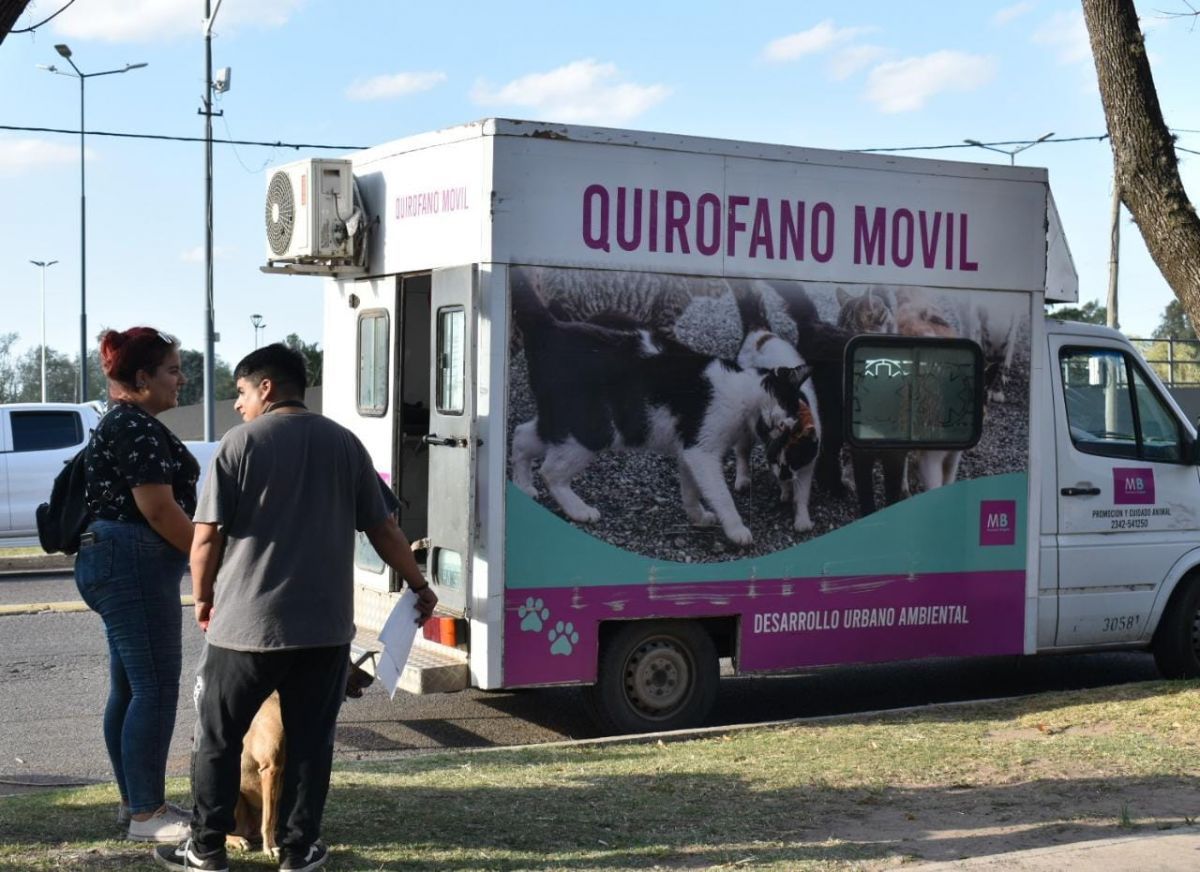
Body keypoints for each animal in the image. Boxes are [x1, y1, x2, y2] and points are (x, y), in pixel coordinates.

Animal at [510, 277, 811, 546]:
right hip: (593, 429)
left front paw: (698, 517)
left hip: (562, 421)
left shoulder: (689, 451)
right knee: (550, 472)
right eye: (787, 414)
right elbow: (721, 494)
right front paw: (737, 530)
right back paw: (579, 510)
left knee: (521, 435)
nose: (786, 427)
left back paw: (524, 487)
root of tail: (551, 326)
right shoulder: (701, 451)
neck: (742, 392)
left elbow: (691, 490)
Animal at [730, 282, 820, 533]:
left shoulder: (807, 465)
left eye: (794, 460)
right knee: (741, 452)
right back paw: (742, 480)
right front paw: (786, 491)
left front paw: (801, 518)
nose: (783, 472)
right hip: (744, 429)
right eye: (779, 462)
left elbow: (802, 494)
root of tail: (759, 330)